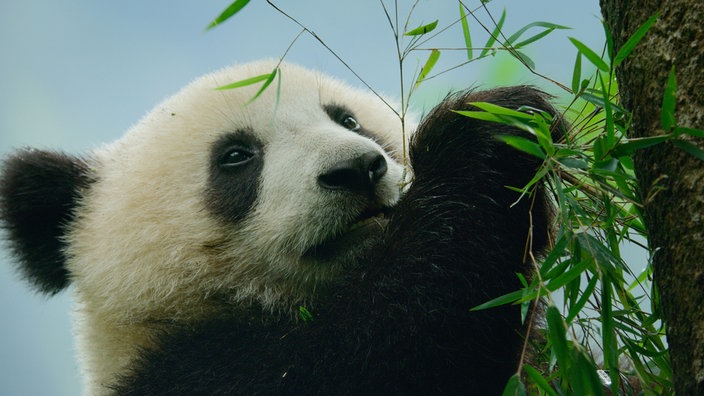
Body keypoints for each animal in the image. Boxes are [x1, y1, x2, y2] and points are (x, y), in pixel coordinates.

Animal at [0, 60, 560, 394]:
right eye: (235, 156)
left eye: (348, 121)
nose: (357, 169)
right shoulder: (186, 375)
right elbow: (391, 346)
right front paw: (484, 139)